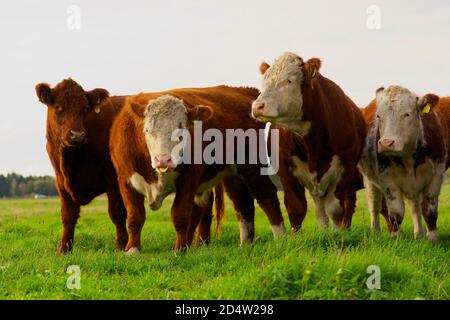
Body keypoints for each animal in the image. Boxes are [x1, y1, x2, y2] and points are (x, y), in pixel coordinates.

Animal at [35, 78, 128, 252]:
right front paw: (64, 248)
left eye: (84, 108)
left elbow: (117, 213)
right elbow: (68, 215)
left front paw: (121, 245)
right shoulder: (61, 181)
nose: (77, 135)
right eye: (58, 106)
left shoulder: (114, 179)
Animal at [110, 86, 290, 254]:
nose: (163, 160)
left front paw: (179, 250)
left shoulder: (188, 180)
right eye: (147, 130)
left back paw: (281, 237)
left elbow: (180, 215)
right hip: (233, 174)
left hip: (251, 166)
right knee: (242, 203)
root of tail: (244, 90)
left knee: (267, 197)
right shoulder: (125, 180)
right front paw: (132, 250)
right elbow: (135, 216)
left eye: (181, 131)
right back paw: (245, 244)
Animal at [251, 51, 368, 229]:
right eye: (265, 81)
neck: (311, 142)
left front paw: (338, 233)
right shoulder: (284, 166)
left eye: (289, 80)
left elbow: (335, 209)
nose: (257, 106)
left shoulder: (345, 165)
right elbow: (296, 208)